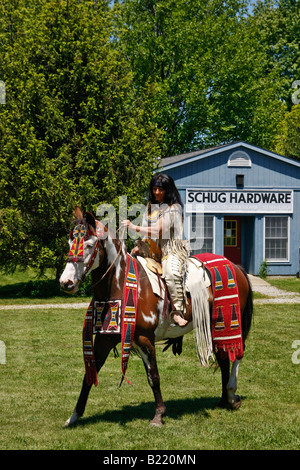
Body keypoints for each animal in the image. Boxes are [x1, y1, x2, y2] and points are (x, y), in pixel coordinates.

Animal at [61, 207, 253, 428]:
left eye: (89, 244)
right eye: (69, 243)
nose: (66, 282)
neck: (120, 284)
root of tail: (235, 267)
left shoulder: (145, 339)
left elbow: (153, 377)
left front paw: (159, 415)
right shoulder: (104, 338)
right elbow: (89, 374)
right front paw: (74, 416)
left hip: (227, 323)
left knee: (236, 353)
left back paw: (231, 394)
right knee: (223, 358)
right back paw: (223, 400)